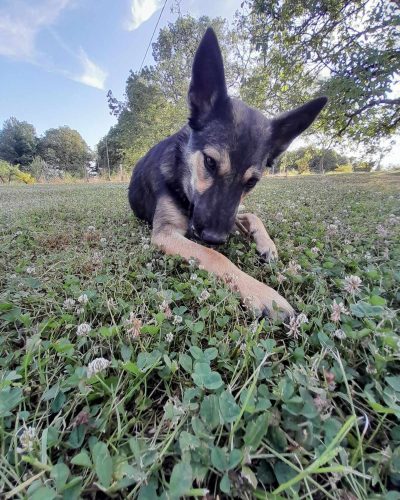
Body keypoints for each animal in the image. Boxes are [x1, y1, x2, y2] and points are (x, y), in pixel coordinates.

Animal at [130, 27, 326, 318]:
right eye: (210, 162)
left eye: (252, 181)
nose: (214, 238)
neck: (182, 178)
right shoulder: (165, 233)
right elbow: (214, 256)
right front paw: (263, 293)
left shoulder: (230, 214)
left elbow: (252, 215)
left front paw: (266, 244)